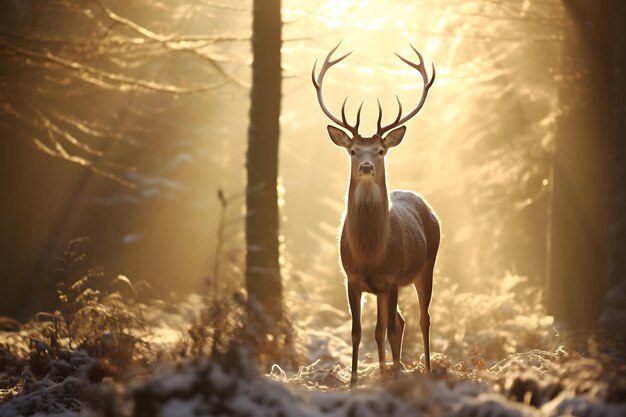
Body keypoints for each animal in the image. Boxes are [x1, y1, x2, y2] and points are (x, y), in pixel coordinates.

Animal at [310, 43, 438, 386]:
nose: (366, 166)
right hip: (382, 289)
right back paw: (385, 369)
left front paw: (393, 377)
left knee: (421, 319)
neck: (370, 253)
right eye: (353, 150)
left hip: (427, 265)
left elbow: (390, 330)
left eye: (380, 150)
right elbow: (358, 332)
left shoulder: (392, 277)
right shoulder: (352, 279)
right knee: (394, 324)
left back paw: (426, 369)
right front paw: (355, 381)